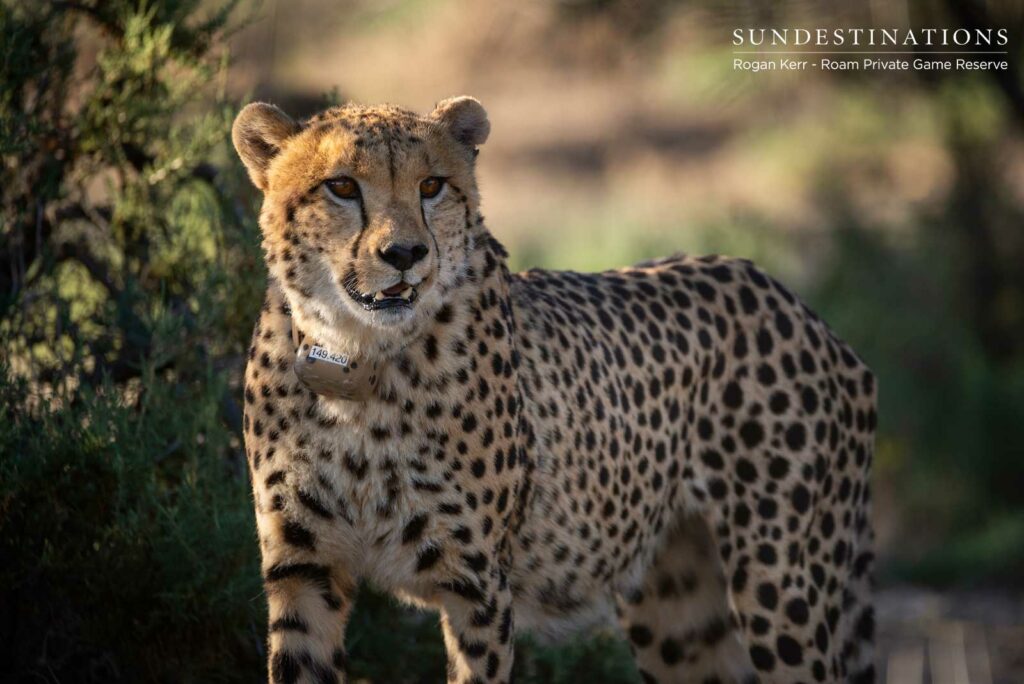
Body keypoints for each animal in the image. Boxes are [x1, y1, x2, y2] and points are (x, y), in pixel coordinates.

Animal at [231, 95, 877, 684]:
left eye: (432, 185)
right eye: (341, 186)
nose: (406, 254)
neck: (356, 360)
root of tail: (791, 298)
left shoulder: (476, 585)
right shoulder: (303, 571)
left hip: (779, 586)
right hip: (679, 609)